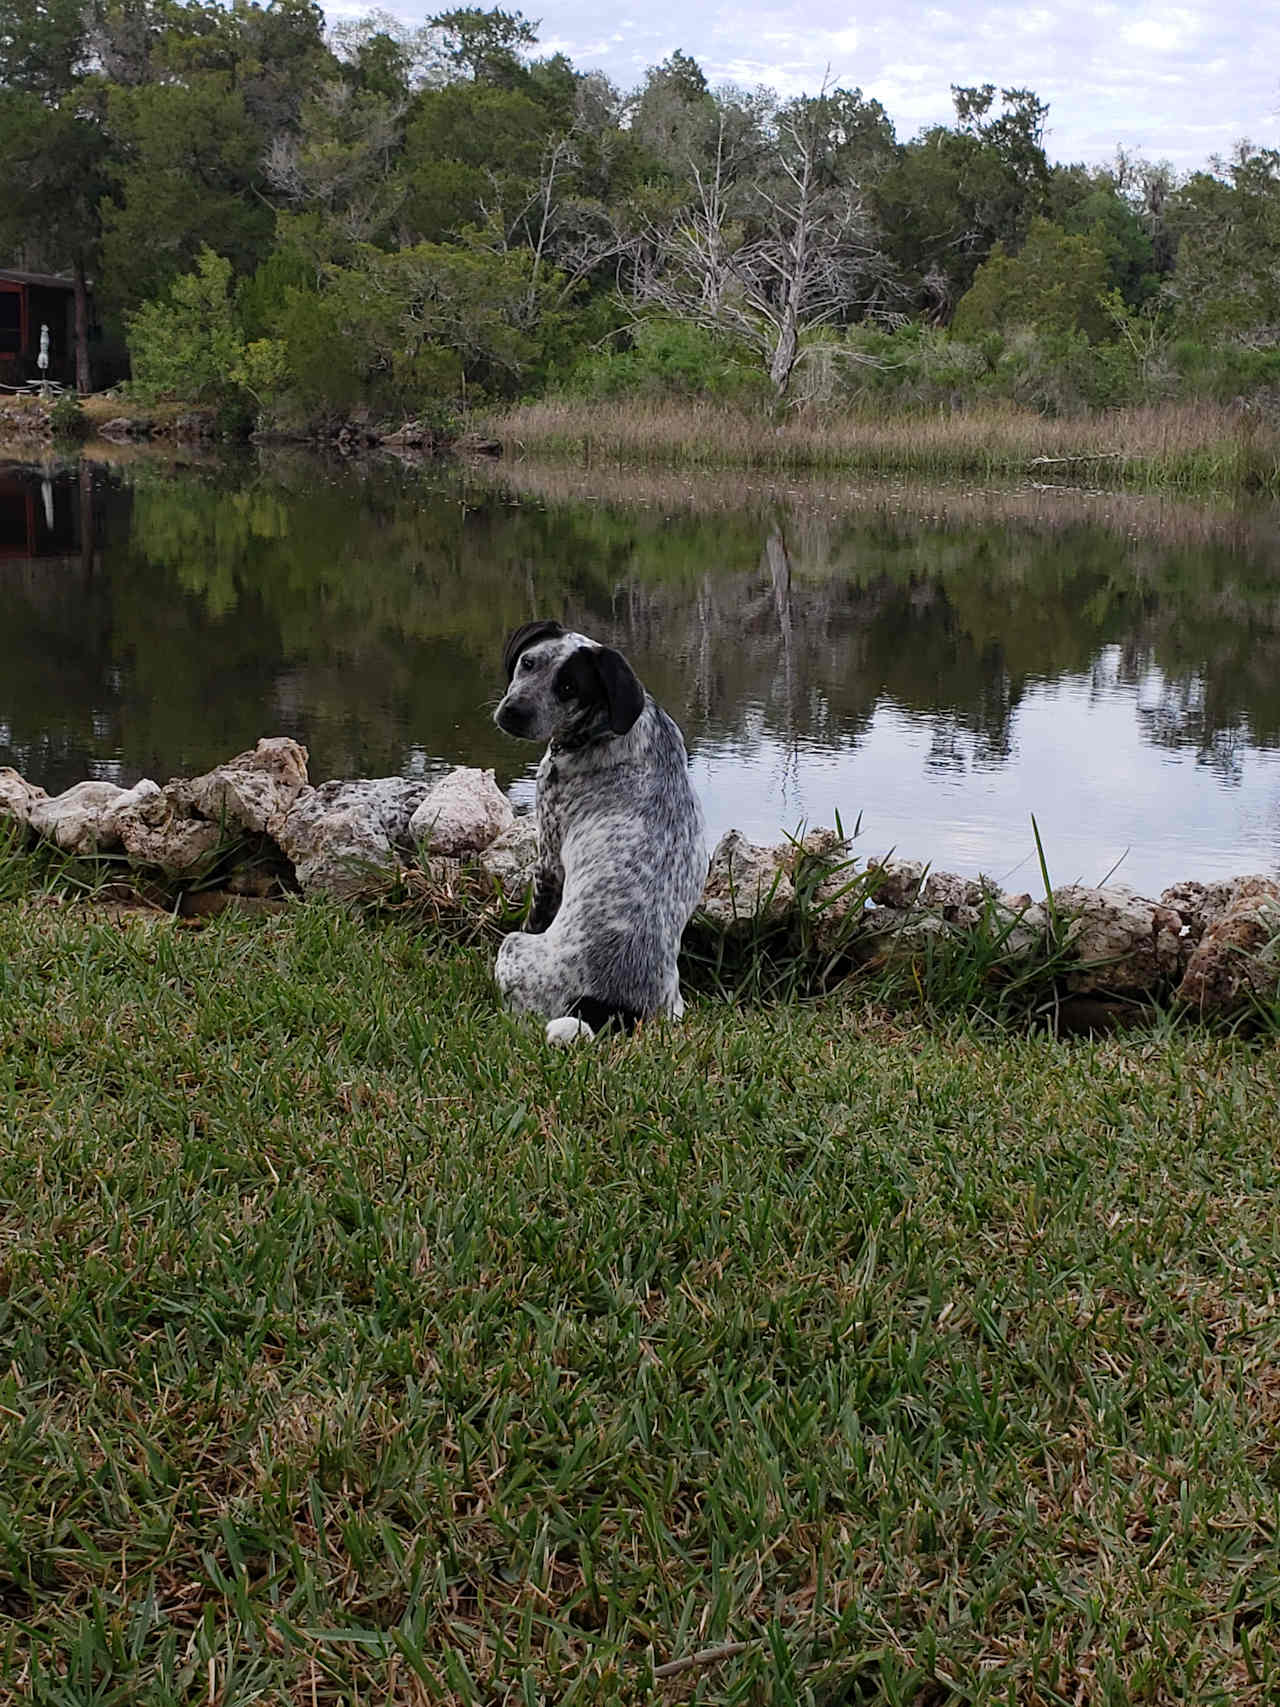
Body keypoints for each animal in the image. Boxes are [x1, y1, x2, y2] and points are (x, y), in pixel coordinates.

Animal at [494, 624, 713, 1037]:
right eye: (528, 663)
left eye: (568, 688)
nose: (514, 712)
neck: (602, 731)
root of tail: (610, 1009)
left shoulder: (549, 860)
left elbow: (536, 914)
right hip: (675, 1007)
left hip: (514, 949)